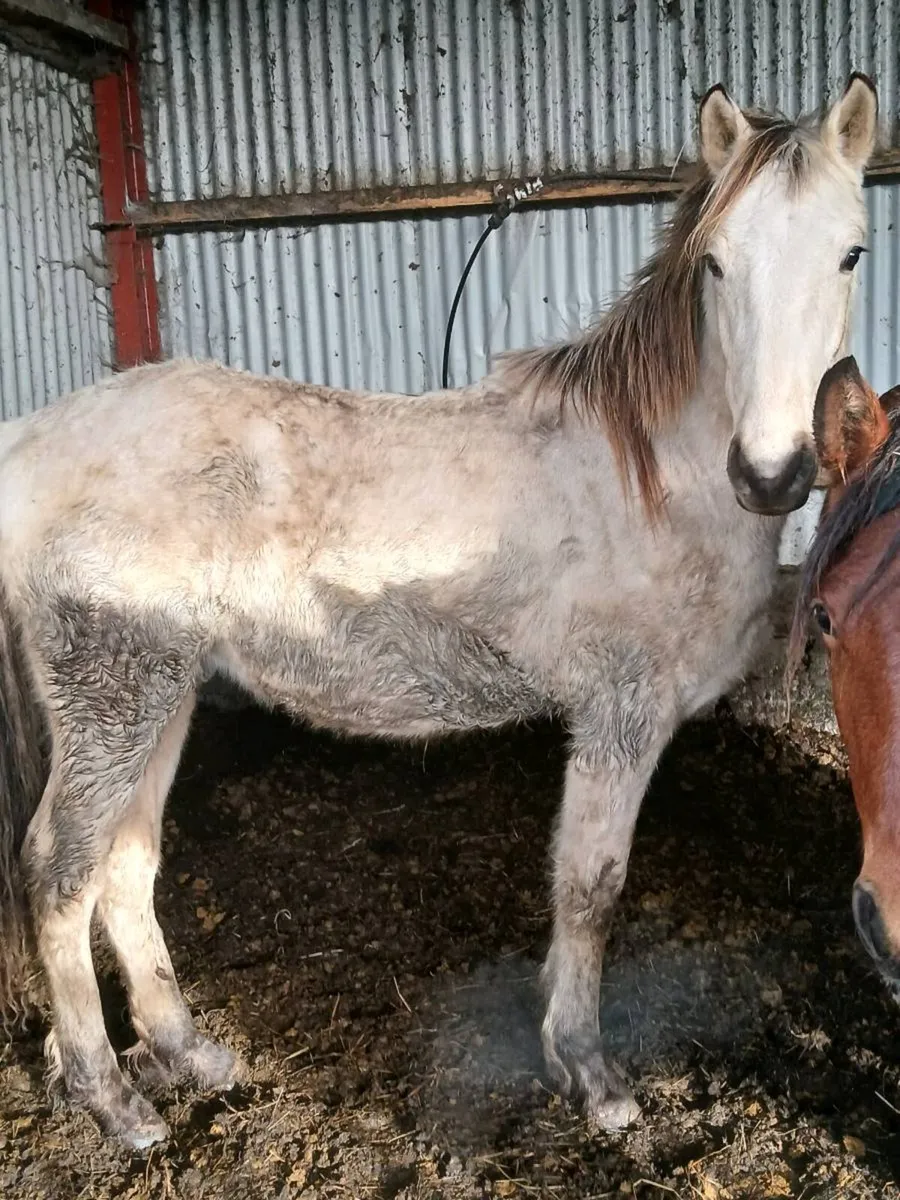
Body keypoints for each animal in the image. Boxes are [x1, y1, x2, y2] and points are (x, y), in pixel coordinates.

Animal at [0, 76, 877, 1149]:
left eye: (850, 252)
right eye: (716, 262)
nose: (771, 473)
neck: (655, 473)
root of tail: (30, 442)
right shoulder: (621, 717)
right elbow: (591, 886)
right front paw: (589, 1073)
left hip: (162, 696)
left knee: (126, 865)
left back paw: (188, 1052)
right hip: (115, 695)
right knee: (59, 870)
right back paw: (111, 1098)